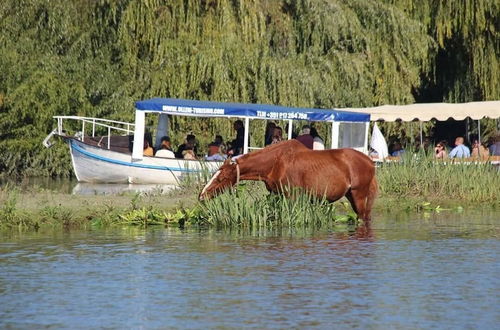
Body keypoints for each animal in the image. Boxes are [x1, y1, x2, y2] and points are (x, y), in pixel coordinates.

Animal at [199, 140, 378, 222]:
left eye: (221, 178)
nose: (202, 196)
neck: (275, 163)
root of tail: (370, 162)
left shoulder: (292, 197)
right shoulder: (276, 195)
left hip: (358, 195)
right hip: (351, 195)